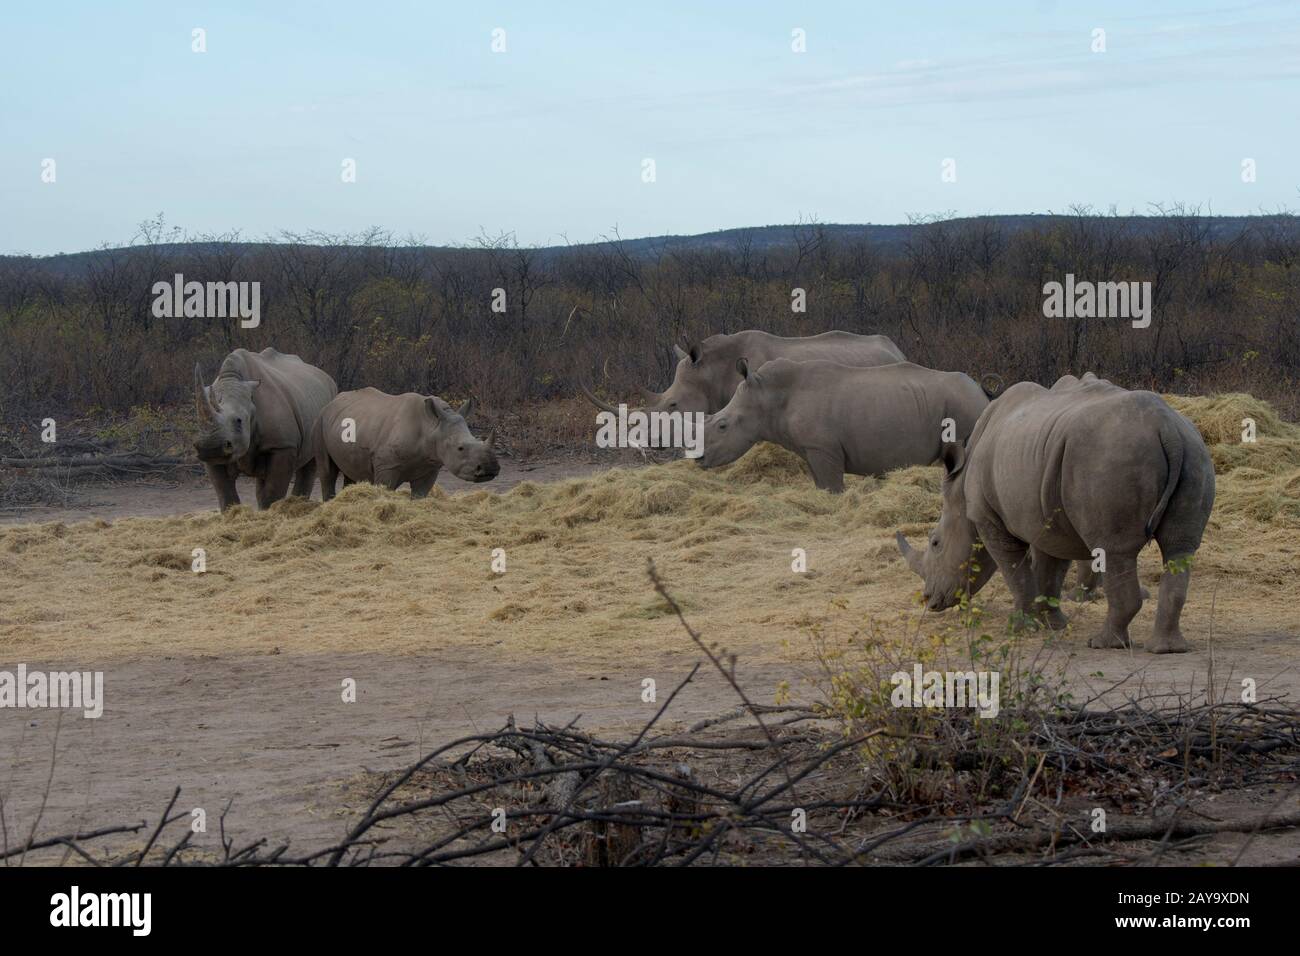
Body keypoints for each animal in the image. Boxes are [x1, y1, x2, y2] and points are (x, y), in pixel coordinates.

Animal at [192, 343, 338, 509]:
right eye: (198, 422)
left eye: (238, 421)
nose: (211, 448)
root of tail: (326, 376)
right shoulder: (213, 459)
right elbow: (225, 494)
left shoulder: (283, 446)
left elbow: (273, 492)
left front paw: (271, 511)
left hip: (327, 399)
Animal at [313, 387, 496, 502]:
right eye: (460, 448)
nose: (490, 469)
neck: (431, 426)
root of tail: (333, 401)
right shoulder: (387, 466)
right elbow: (386, 490)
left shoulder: (430, 467)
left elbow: (419, 495)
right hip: (320, 420)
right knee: (327, 470)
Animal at [696, 358, 987, 494]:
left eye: (722, 425)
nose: (698, 458)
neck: (768, 396)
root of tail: (982, 393)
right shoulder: (812, 449)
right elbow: (821, 485)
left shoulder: (823, 448)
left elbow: (832, 486)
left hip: (964, 406)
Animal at [899, 369, 1211, 655]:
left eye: (935, 543)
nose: (930, 600)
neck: (960, 493)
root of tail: (1166, 426)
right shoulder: (1049, 517)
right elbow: (1051, 569)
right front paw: (1054, 624)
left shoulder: (988, 519)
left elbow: (1015, 570)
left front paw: (1020, 627)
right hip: (1192, 451)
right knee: (1179, 549)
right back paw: (1167, 649)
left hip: (1110, 457)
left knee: (1114, 549)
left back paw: (1103, 643)